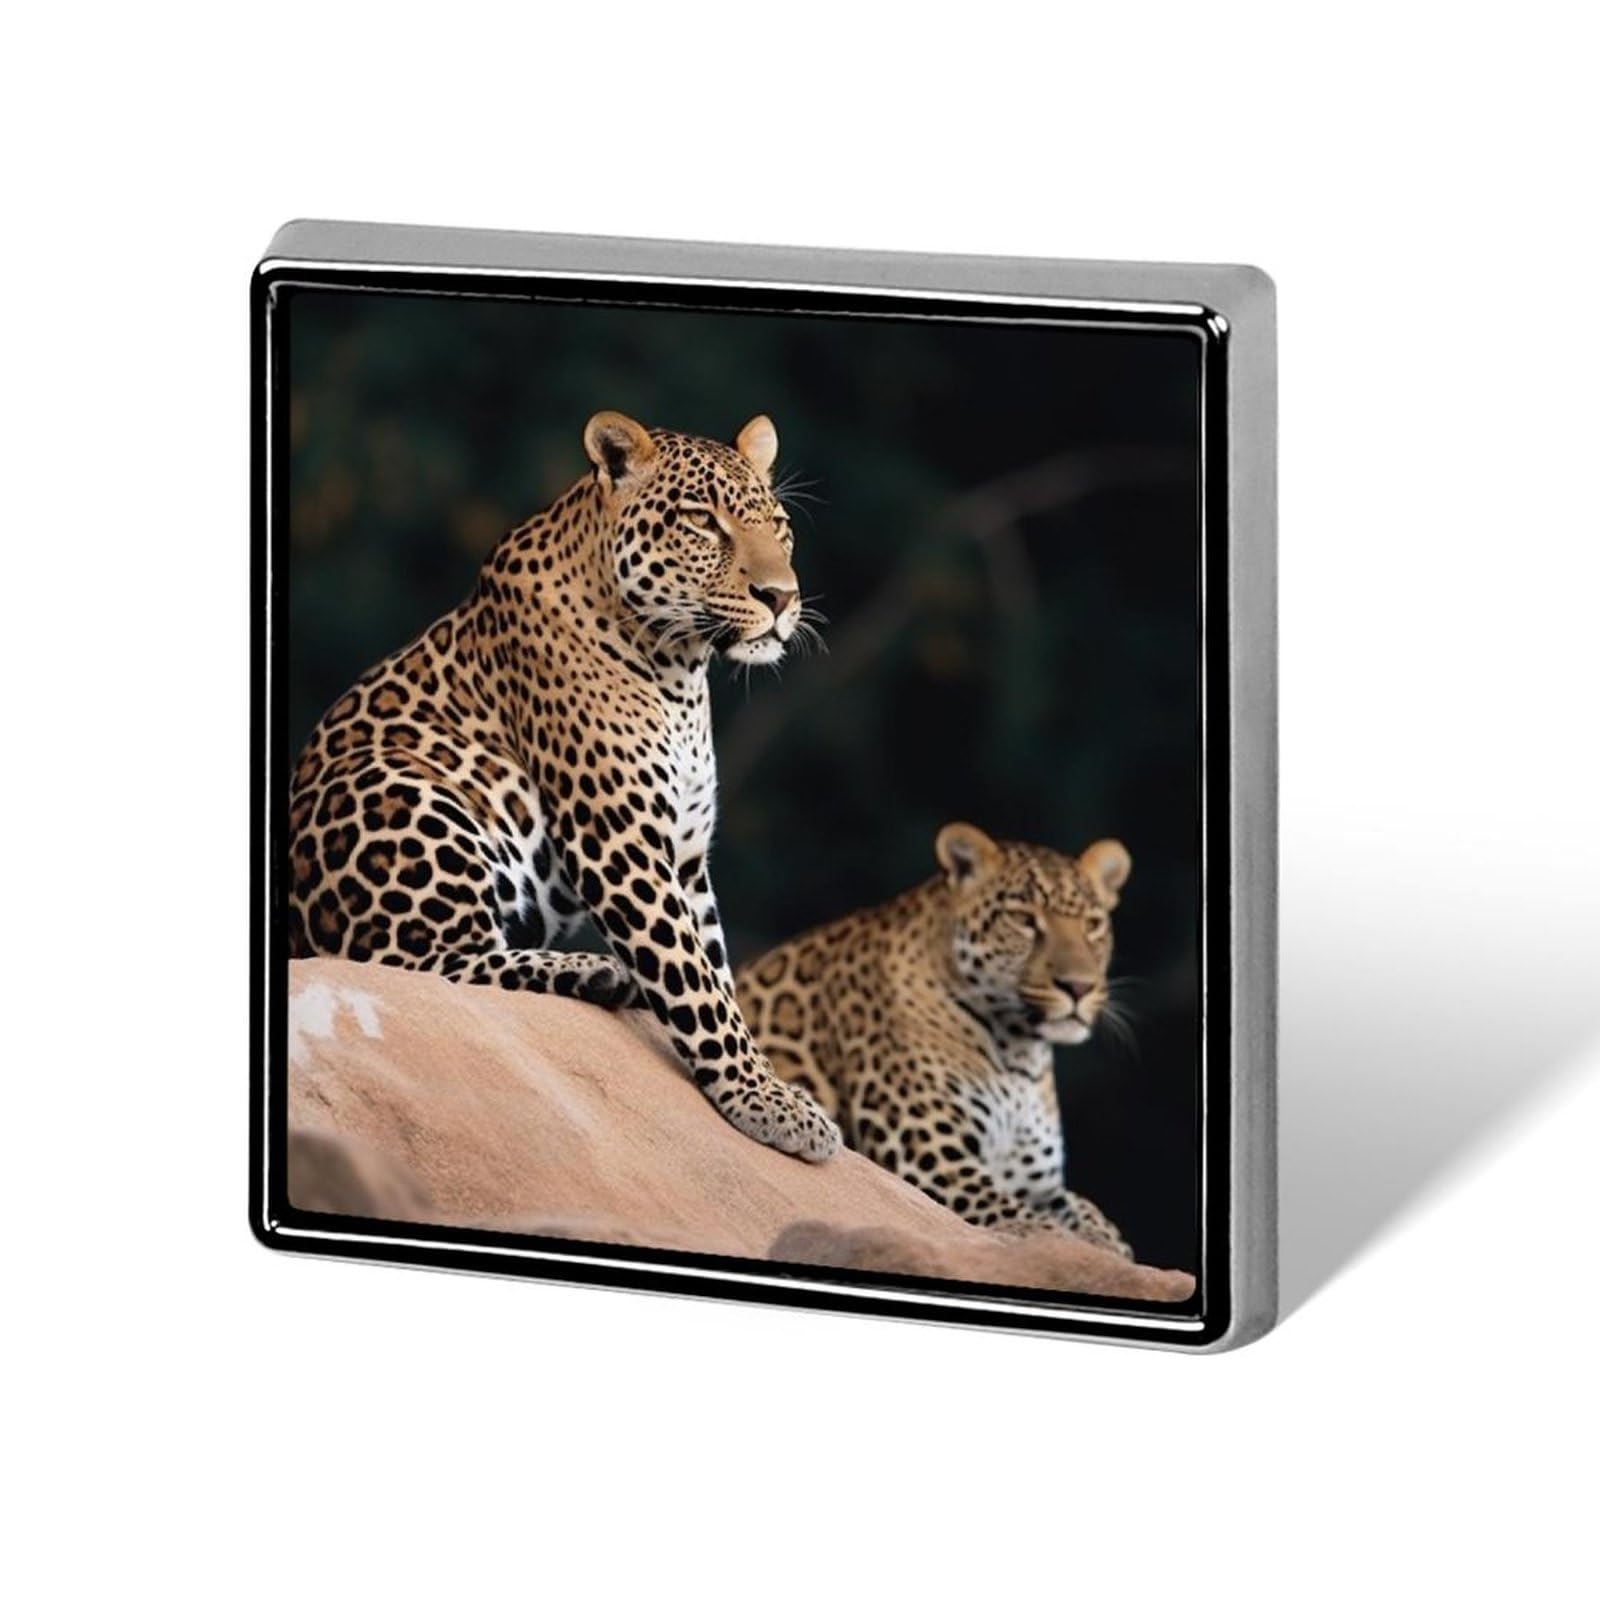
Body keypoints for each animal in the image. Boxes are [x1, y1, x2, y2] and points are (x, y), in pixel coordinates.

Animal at [288, 410, 841, 1162]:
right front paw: (767, 1102)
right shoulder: (619, 841)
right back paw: (589, 970)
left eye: (777, 524)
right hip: (408, 790)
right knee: (409, 966)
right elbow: (695, 983)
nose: (781, 598)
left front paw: (760, 1082)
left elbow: (712, 969)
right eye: (703, 523)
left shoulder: (685, 856)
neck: (680, 667)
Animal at [735, 822, 1134, 1252]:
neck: (1019, 1052)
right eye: (1023, 918)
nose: (1079, 987)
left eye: (1092, 925)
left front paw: (1107, 1242)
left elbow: (1086, 1213)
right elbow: (1027, 1222)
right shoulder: (929, 1160)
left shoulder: (1036, 1185)